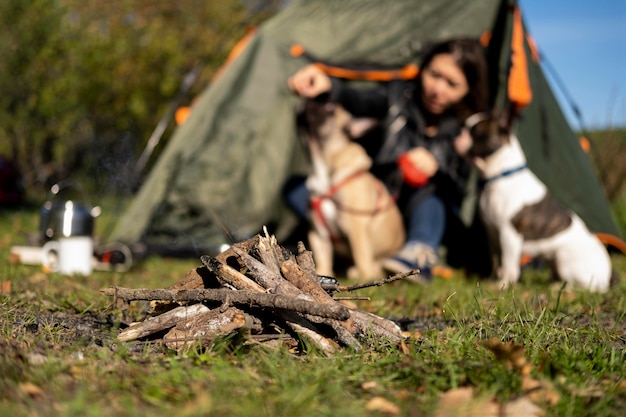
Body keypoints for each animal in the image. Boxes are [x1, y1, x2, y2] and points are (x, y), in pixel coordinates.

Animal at [298, 99, 404, 278]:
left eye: (330, 108)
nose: (307, 101)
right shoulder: (318, 233)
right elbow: (322, 258)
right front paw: (321, 274)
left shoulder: (356, 228)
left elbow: (360, 255)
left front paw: (365, 278)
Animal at [464, 111, 608, 292]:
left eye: (476, 131)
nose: (462, 127)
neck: (499, 175)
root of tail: (608, 277)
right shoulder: (492, 234)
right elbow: (496, 260)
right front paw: (491, 280)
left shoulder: (508, 234)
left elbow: (508, 264)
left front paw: (504, 284)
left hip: (565, 259)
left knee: (582, 287)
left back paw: (559, 288)